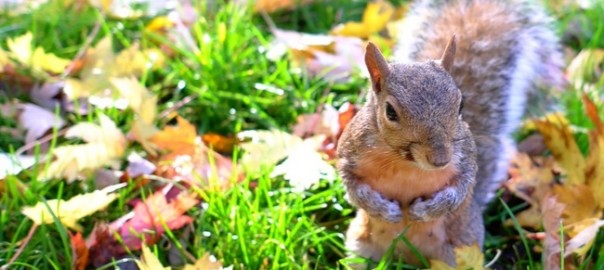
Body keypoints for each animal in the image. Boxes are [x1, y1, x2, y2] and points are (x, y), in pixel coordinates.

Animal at [338, 0, 564, 266]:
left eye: (460, 104)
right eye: (390, 112)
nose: (440, 160)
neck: (403, 161)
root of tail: (409, 258)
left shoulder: (465, 160)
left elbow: (459, 191)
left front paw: (424, 210)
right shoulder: (349, 152)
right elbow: (354, 189)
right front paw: (385, 210)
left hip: (459, 252)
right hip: (360, 245)